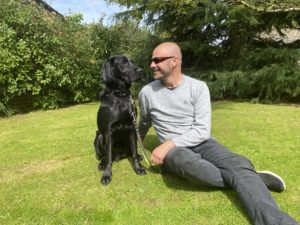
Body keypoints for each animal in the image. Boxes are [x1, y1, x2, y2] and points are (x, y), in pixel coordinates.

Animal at [93, 55, 146, 185]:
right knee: (104, 156)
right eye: (124, 63)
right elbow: (108, 157)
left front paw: (138, 168)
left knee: (132, 152)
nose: (142, 71)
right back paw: (102, 164)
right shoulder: (108, 131)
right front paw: (106, 175)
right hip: (99, 136)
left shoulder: (132, 128)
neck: (121, 96)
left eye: (132, 62)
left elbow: (134, 153)